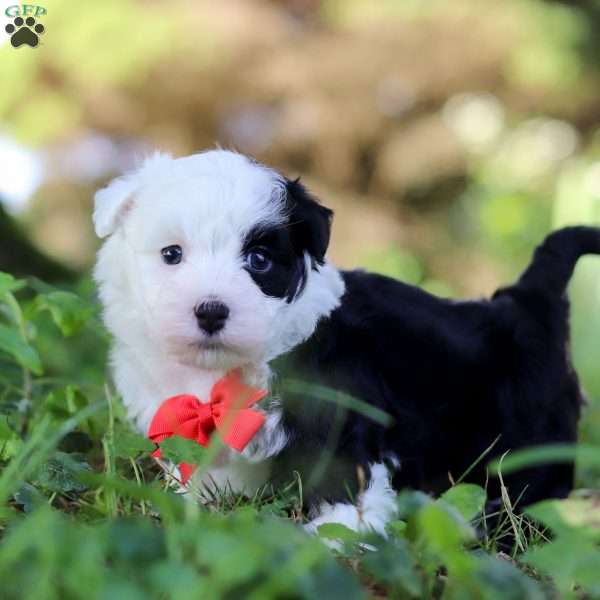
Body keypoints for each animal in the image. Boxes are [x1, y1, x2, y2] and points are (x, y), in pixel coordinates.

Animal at [92, 149, 596, 536]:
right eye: (171, 254)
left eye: (259, 260)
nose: (211, 311)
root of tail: (529, 298)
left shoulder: (339, 416)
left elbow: (343, 484)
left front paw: (333, 541)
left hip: (531, 439)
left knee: (529, 497)